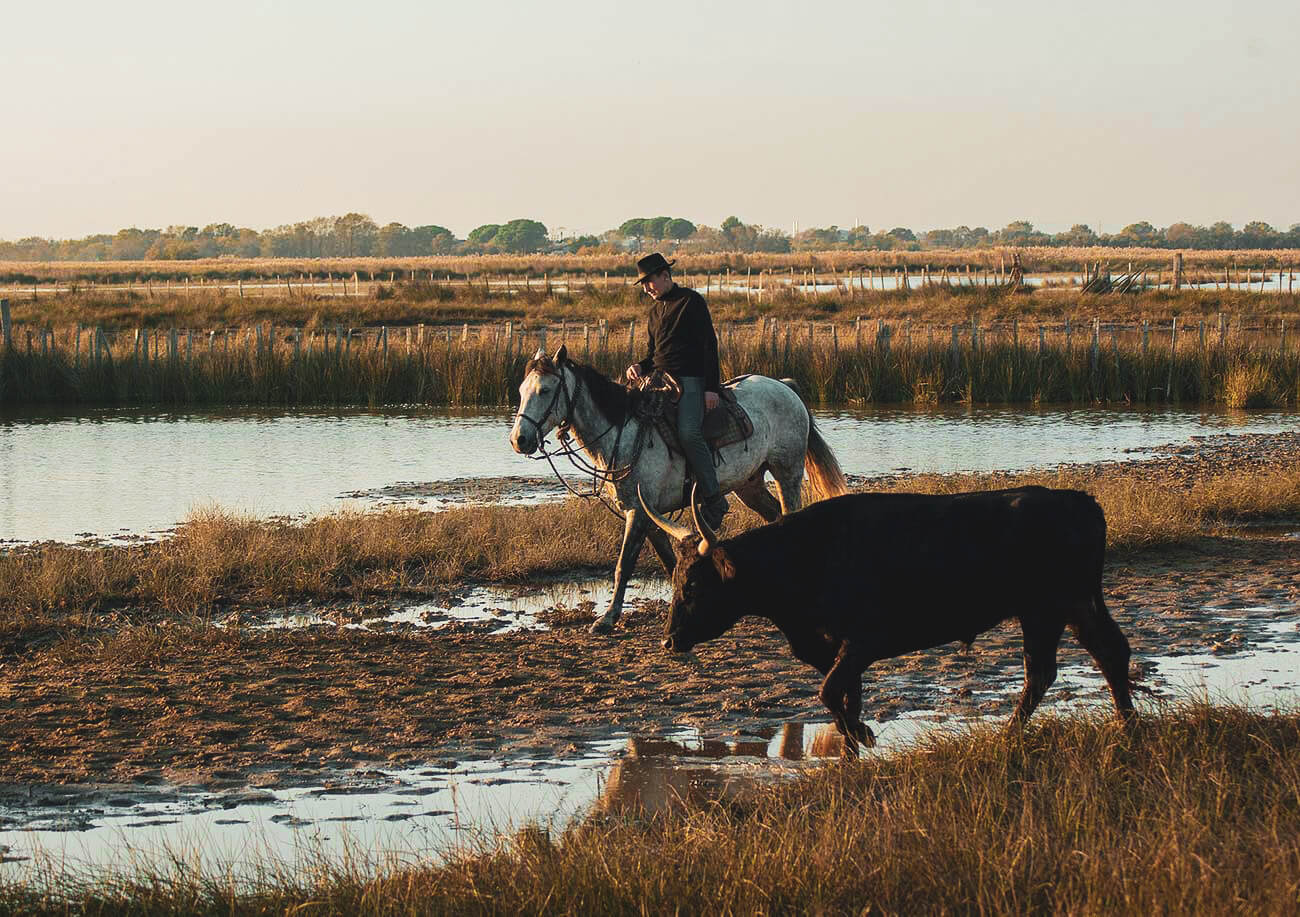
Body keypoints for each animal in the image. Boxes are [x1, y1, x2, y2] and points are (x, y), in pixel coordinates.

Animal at [512, 340, 847, 632]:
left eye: (545, 390)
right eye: (521, 390)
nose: (519, 440)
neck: (624, 432)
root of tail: (784, 386)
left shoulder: (638, 512)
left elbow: (624, 565)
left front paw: (606, 620)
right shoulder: (647, 513)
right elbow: (668, 560)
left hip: (786, 474)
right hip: (749, 486)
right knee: (774, 516)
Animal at [644, 486, 1133, 749]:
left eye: (694, 585)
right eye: (675, 581)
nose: (669, 641)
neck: (806, 555)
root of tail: (1080, 500)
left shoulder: (863, 641)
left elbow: (829, 693)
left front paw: (862, 735)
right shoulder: (838, 651)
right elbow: (845, 697)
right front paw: (854, 742)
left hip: (1052, 607)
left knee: (1062, 666)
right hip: (1062, 609)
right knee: (1093, 656)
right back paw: (1122, 724)